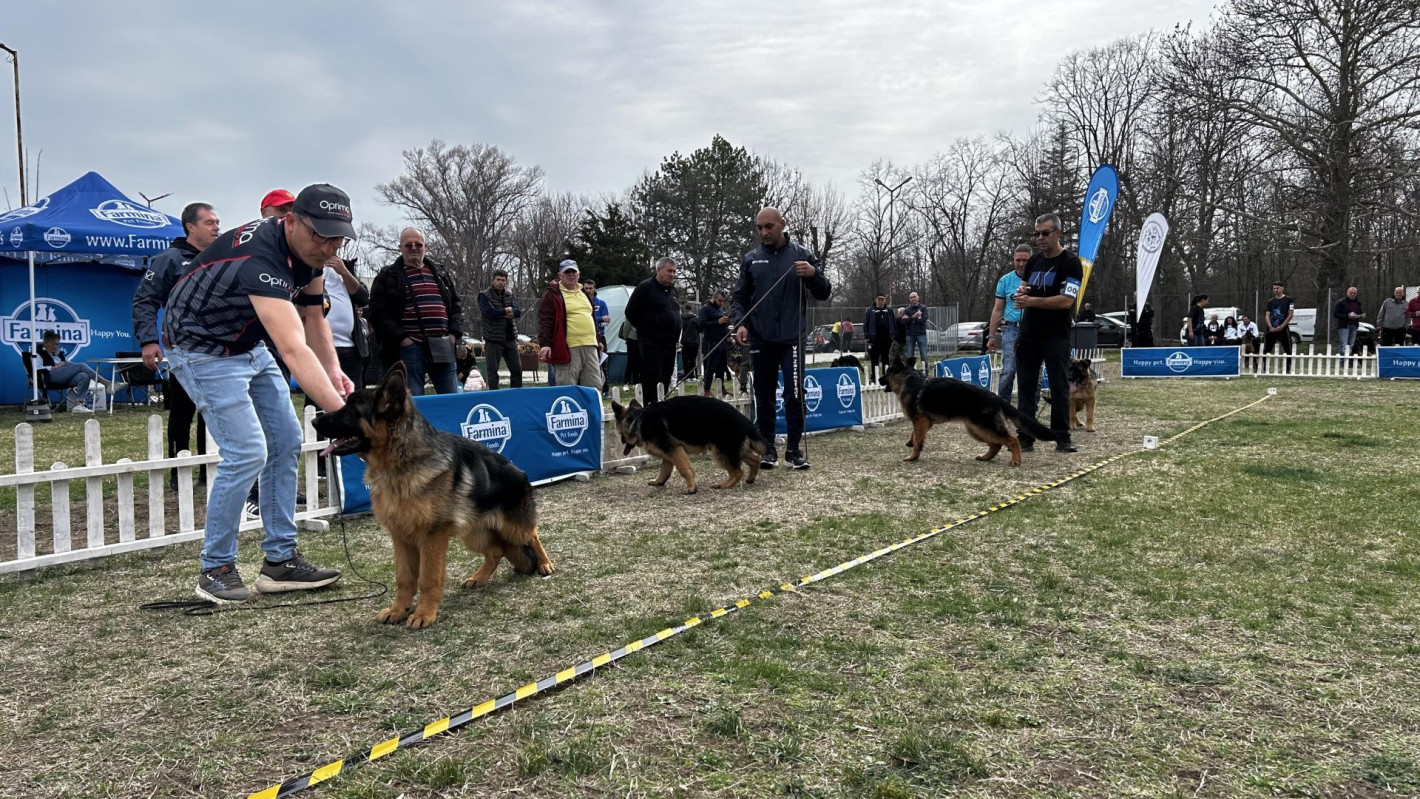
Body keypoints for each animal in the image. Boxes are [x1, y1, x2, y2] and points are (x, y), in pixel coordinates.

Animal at [315, 363, 553, 632]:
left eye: (351, 408)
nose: (313, 420)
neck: (399, 464)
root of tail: (521, 473)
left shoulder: (432, 537)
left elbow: (428, 578)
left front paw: (423, 614)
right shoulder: (400, 537)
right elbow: (404, 578)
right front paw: (398, 610)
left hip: (513, 528)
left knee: (533, 536)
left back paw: (544, 563)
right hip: (474, 533)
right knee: (496, 551)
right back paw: (479, 578)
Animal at [610, 394, 766, 493]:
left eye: (620, 434)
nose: (623, 443)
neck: (638, 419)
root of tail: (744, 419)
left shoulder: (675, 450)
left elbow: (684, 470)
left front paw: (692, 488)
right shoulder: (668, 452)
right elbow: (664, 469)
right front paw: (659, 482)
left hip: (721, 451)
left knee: (738, 471)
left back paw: (724, 484)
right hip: (734, 449)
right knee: (755, 460)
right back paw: (751, 478)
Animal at [874, 357, 1056, 468]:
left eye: (886, 373)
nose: (878, 379)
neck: (910, 380)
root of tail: (996, 397)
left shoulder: (920, 420)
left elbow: (919, 441)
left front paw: (912, 456)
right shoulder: (923, 422)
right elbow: (915, 435)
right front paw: (910, 443)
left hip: (985, 427)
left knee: (1012, 440)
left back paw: (1016, 460)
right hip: (975, 429)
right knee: (996, 444)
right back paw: (985, 457)